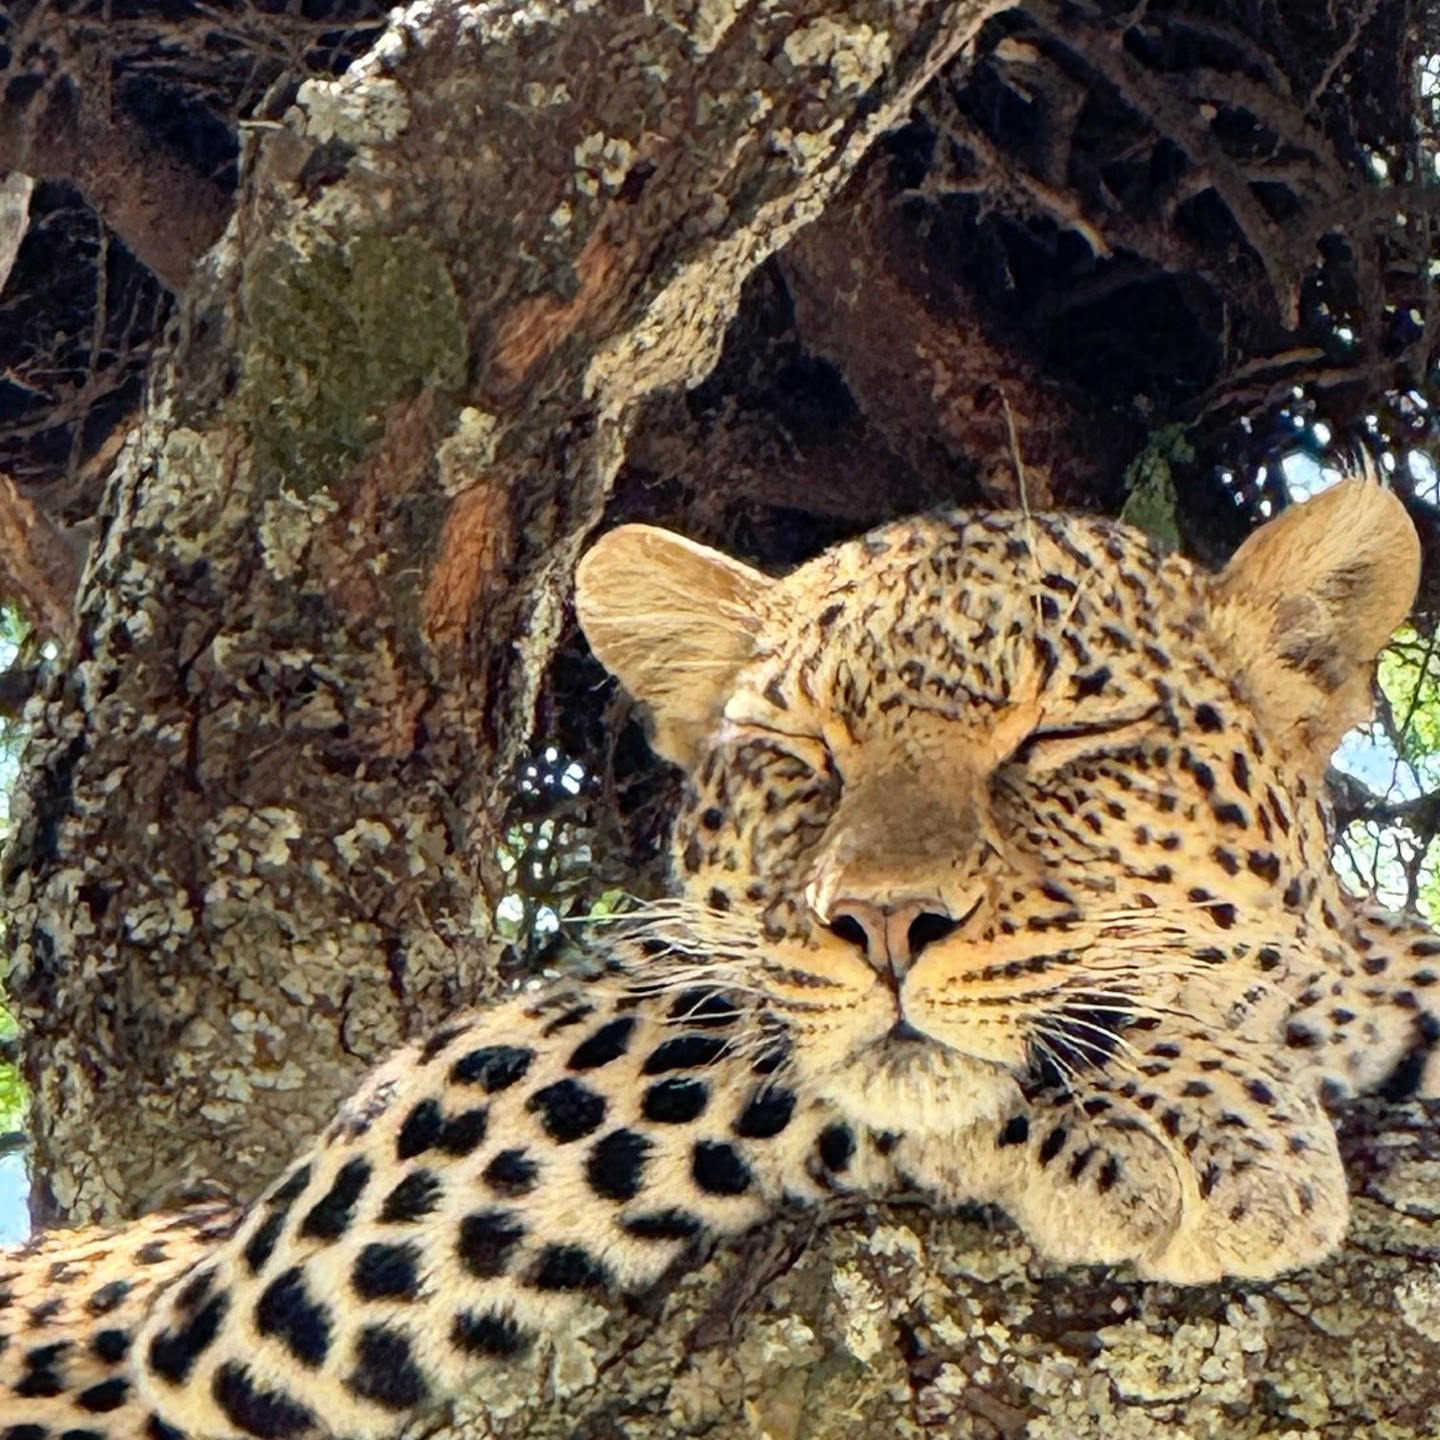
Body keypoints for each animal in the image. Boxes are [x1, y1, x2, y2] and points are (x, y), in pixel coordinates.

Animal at [5, 477, 1440, 1440]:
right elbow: (703, 1019)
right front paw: (1191, 1117)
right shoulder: (258, 1277)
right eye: (801, 754)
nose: (882, 920)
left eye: (1062, 741)